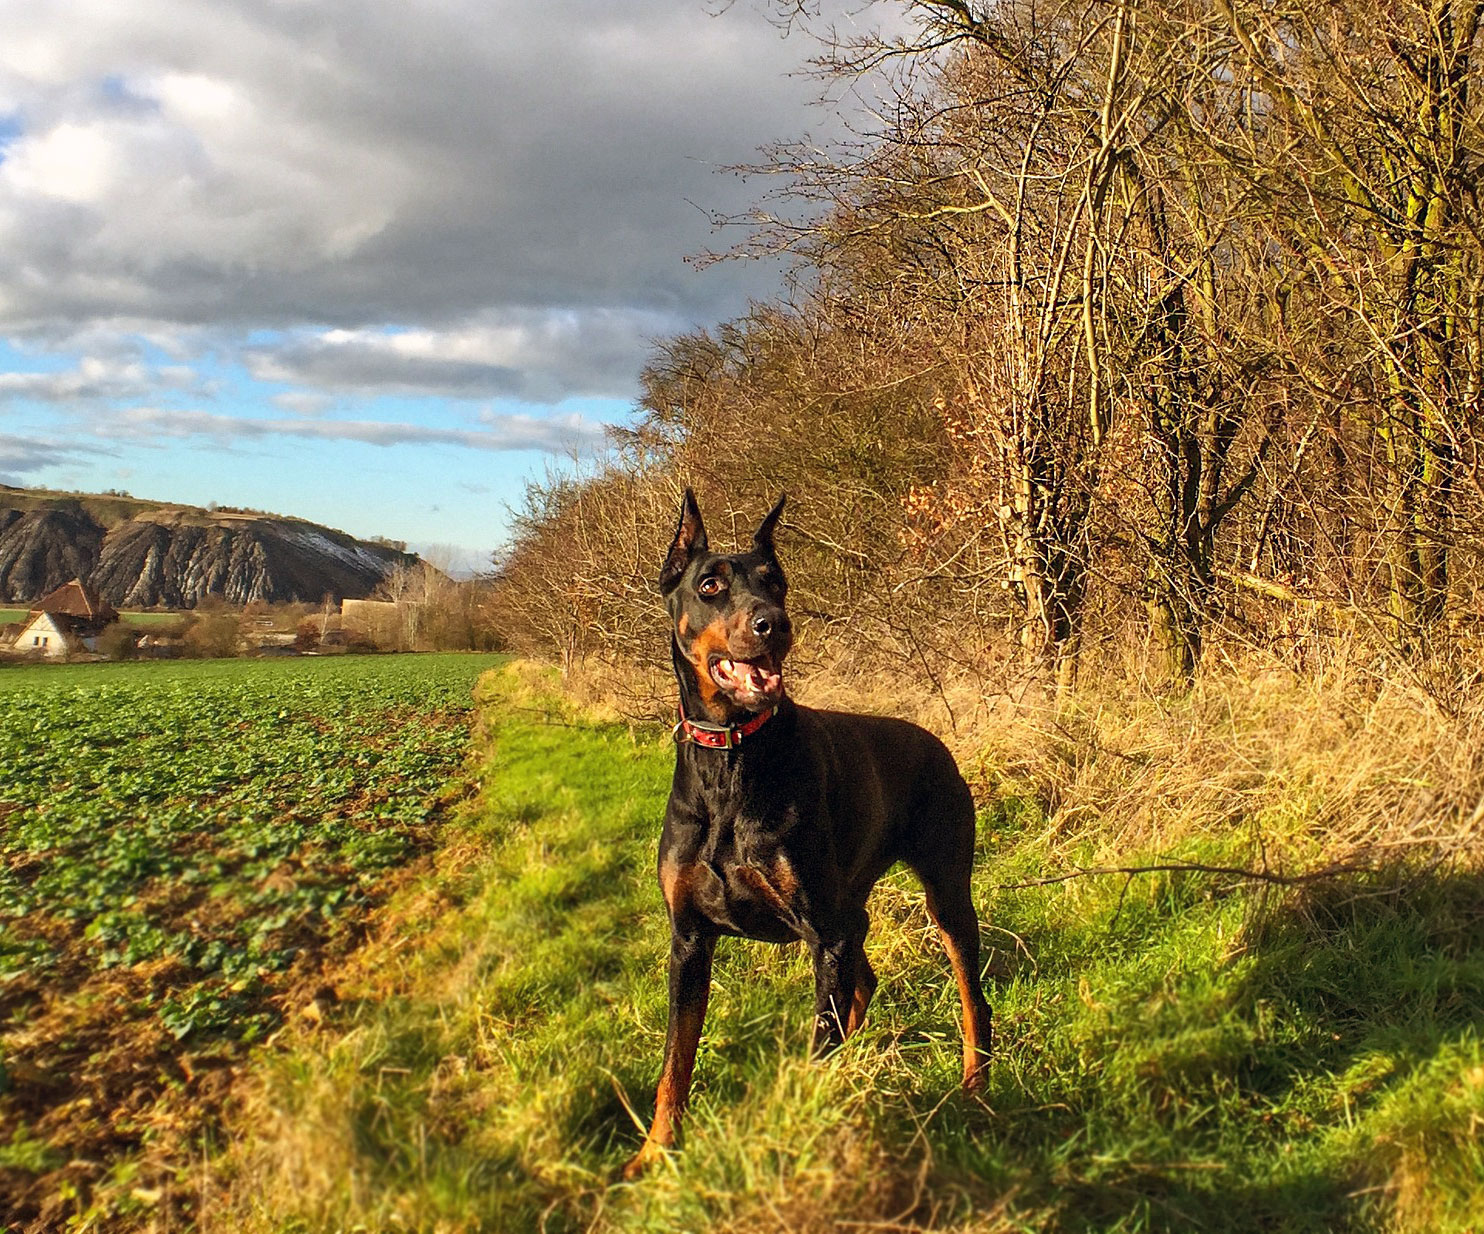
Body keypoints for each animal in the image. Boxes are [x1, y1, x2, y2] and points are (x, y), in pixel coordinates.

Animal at [620, 492, 991, 1174]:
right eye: (709, 585)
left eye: (777, 583)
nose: (774, 623)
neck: (732, 756)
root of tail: (937, 743)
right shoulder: (689, 940)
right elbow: (673, 1064)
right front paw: (655, 1155)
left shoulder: (822, 931)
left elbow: (819, 1039)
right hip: (851, 907)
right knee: (863, 980)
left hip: (945, 895)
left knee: (969, 997)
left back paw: (976, 1085)